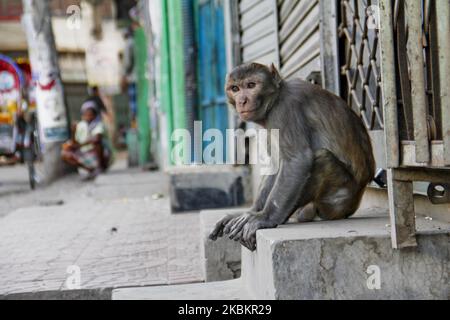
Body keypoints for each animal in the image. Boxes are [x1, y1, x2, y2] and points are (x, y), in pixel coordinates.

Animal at [209, 63, 374, 252]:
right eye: (235, 88)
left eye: (251, 85)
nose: (241, 101)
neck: (276, 97)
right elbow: (276, 165)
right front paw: (250, 212)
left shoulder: (285, 109)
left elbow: (297, 160)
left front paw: (263, 218)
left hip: (339, 199)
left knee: (322, 159)